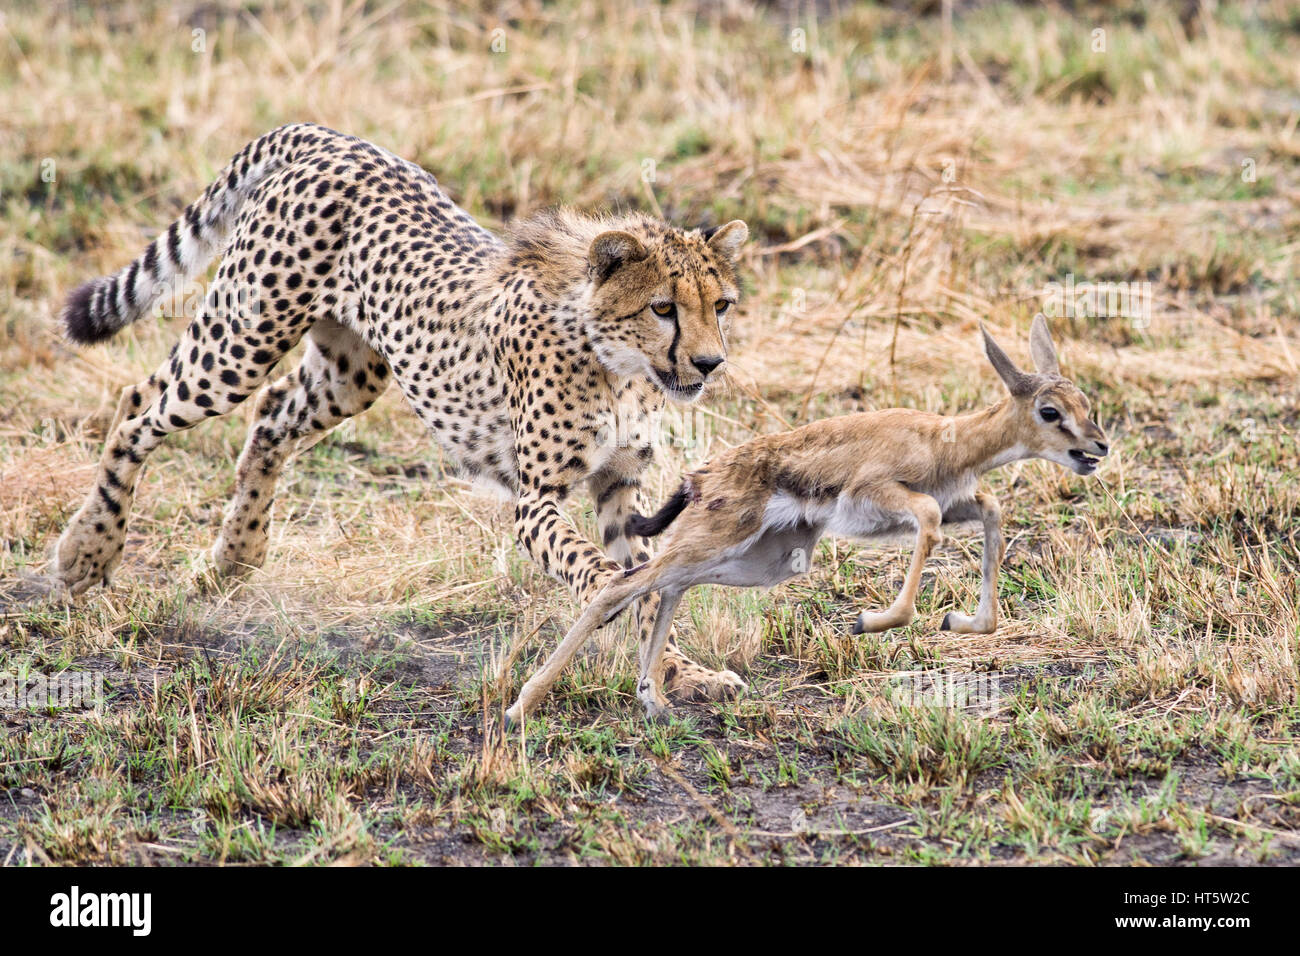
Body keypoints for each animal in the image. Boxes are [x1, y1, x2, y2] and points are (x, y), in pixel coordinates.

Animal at [53, 119, 754, 702]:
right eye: (663, 308)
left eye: (719, 305)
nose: (709, 364)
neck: (621, 367)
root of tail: (328, 137)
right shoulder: (536, 499)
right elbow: (597, 567)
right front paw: (624, 618)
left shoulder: (619, 485)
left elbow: (653, 586)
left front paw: (680, 672)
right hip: (241, 342)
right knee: (139, 405)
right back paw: (89, 551)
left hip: (351, 373)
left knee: (271, 416)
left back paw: (233, 561)